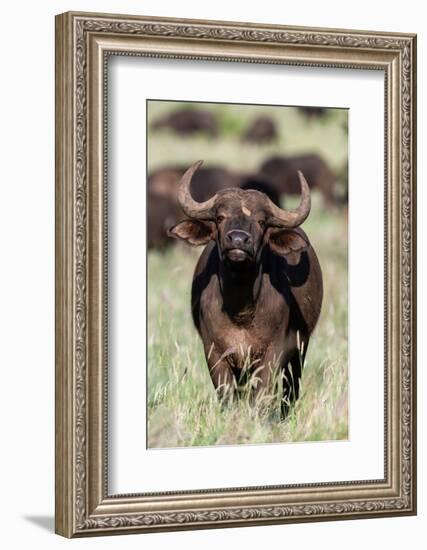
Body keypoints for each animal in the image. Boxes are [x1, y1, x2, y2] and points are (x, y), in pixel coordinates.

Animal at [169, 162, 322, 416]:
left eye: (261, 221)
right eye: (220, 217)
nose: (239, 240)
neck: (240, 308)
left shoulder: (272, 353)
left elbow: (261, 395)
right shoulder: (215, 353)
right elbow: (227, 395)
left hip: (300, 349)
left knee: (290, 389)